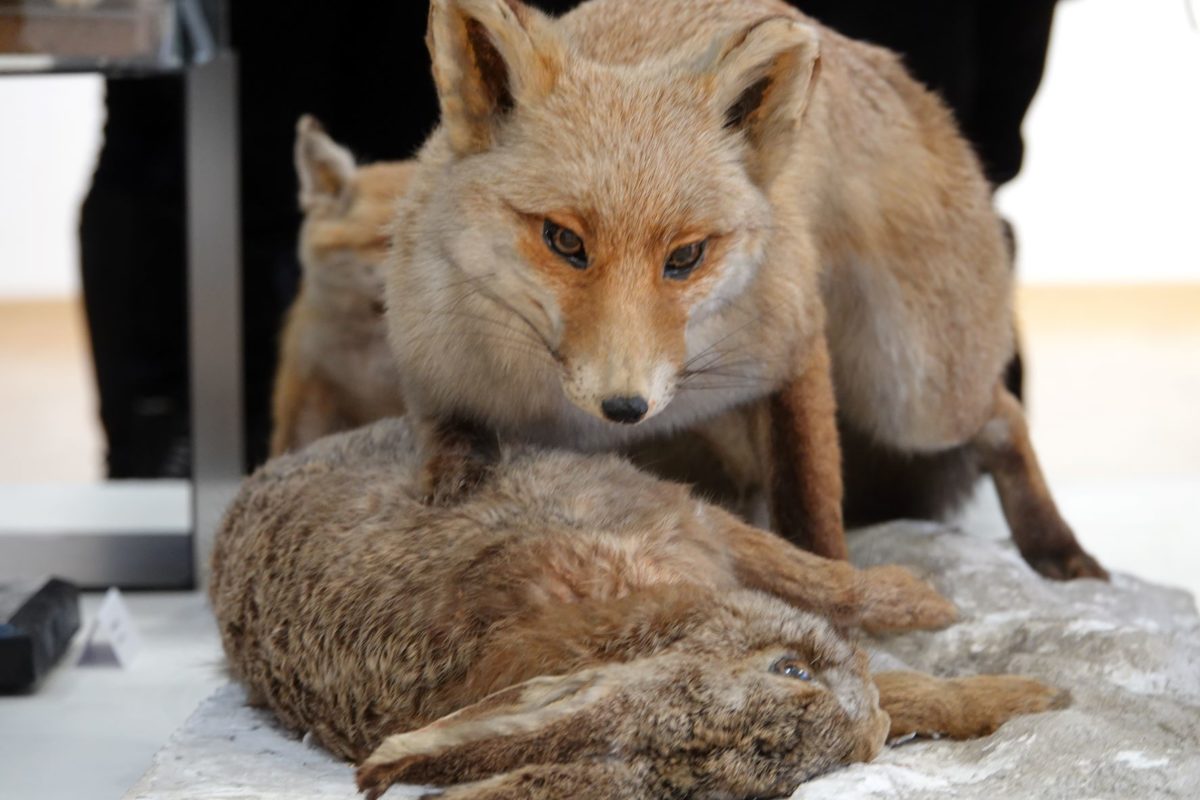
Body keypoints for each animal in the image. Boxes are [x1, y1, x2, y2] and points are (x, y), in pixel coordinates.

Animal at [391, 0, 1104, 575]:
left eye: (685, 257)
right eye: (565, 242)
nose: (627, 406)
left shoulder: (792, 341)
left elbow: (808, 503)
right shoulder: (428, 355)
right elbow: (441, 432)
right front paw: (453, 477)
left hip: (915, 396)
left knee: (1004, 413)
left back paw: (1056, 547)